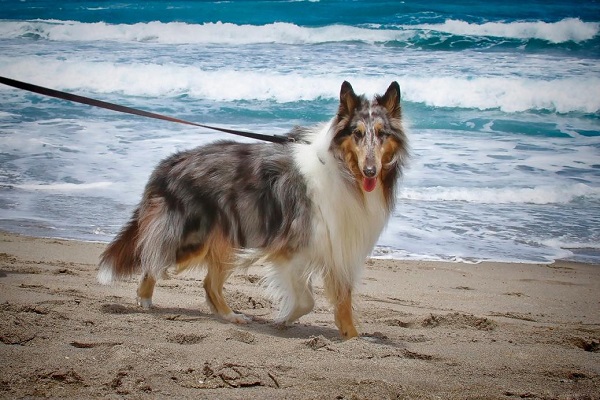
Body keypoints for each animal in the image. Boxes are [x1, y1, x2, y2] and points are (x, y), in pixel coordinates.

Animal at [97, 80, 408, 338]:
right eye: (357, 134)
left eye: (382, 133)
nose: (371, 171)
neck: (343, 171)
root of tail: (169, 163)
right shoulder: (291, 248)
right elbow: (306, 300)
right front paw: (283, 318)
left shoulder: (339, 250)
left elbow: (341, 303)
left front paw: (353, 339)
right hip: (192, 238)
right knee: (152, 259)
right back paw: (145, 300)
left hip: (226, 239)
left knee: (209, 283)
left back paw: (230, 316)